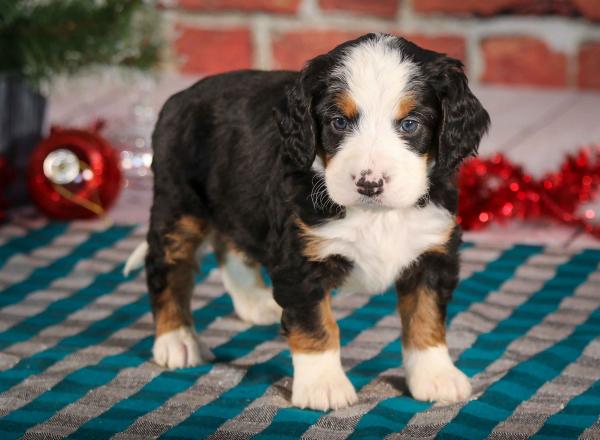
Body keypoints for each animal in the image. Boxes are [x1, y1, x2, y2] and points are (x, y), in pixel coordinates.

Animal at [129, 33, 490, 412]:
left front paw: (436, 376)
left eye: (410, 124)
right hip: (179, 201)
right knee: (166, 265)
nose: (369, 184)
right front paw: (324, 386)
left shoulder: (432, 251)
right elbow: (316, 325)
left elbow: (426, 315)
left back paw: (254, 302)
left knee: (230, 244)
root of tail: (180, 97)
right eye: (339, 122)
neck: (375, 216)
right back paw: (177, 340)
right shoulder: (300, 259)